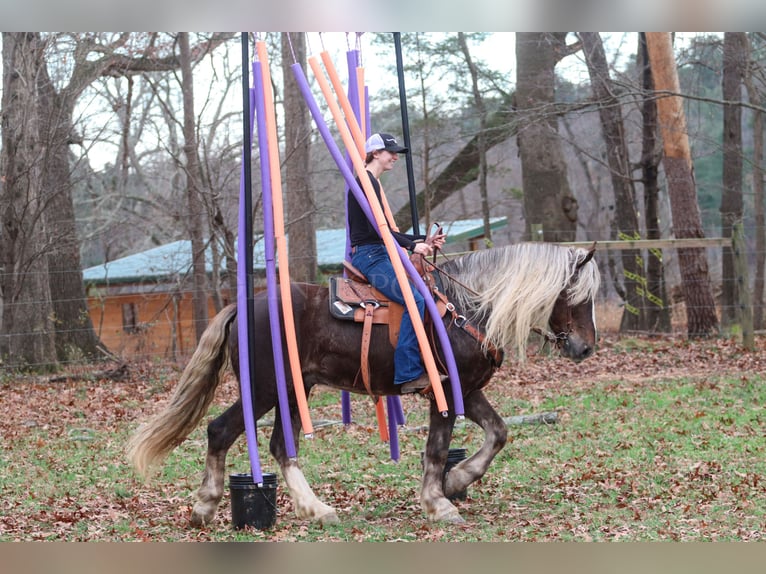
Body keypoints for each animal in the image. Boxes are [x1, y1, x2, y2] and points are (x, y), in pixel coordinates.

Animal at [129, 241, 604, 528]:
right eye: (577, 295)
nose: (585, 348)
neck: (466, 308)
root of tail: (244, 306)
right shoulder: (445, 393)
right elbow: (437, 448)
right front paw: (439, 503)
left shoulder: (467, 391)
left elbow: (498, 433)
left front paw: (456, 481)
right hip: (264, 390)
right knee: (220, 431)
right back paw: (205, 505)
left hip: (292, 391)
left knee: (281, 446)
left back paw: (316, 509)